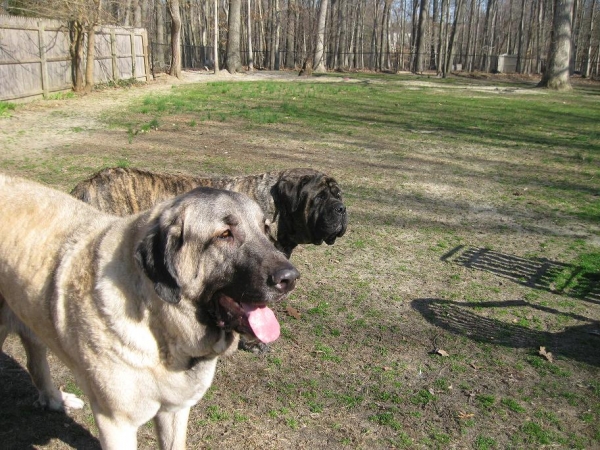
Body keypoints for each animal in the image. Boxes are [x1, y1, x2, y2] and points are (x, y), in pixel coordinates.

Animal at [0, 175, 300, 450]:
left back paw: (55, 399)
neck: (159, 326)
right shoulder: (116, 424)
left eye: (265, 229)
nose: (290, 278)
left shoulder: (175, 411)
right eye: (225, 234)